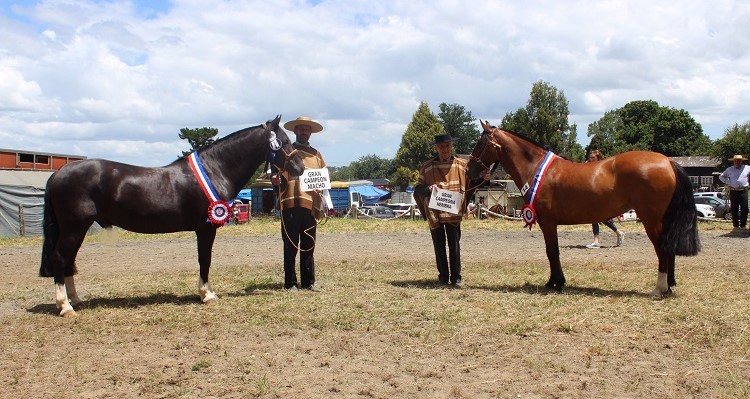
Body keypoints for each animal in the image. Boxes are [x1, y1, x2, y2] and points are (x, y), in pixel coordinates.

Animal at [39, 116, 306, 318]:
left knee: (69, 261)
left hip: (77, 229)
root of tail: (59, 172)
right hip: (74, 227)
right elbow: (205, 260)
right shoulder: (205, 228)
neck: (214, 169)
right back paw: (65, 307)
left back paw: (75, 300)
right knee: (60, 258)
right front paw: (207, 294)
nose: (300, 168)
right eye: (282, 142)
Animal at [468, 120, 704, 296]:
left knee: (662, 249)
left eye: (479, 144)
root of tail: (667, 162)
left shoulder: (547, 222)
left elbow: (552, 252)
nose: (470, 170)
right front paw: (555, 281)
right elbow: (553, 252)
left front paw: (555, 282)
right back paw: (669, 285)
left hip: (651, 219)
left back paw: (659, 288)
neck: (537, 169)